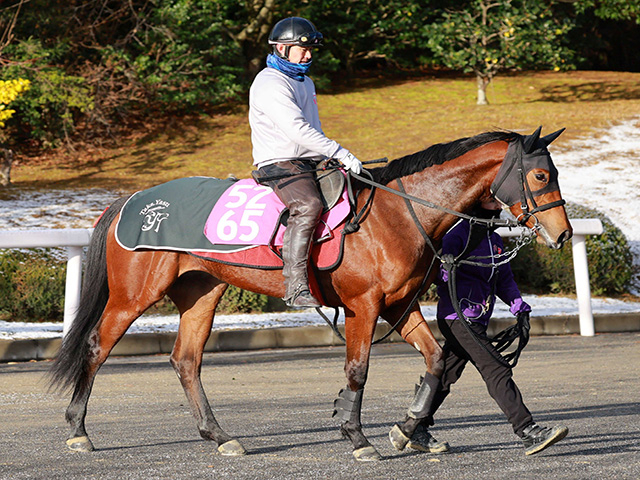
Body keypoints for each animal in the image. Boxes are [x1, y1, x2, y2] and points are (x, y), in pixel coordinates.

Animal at [48, 126, 568, 462]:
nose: (561, 234)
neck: (399, 213)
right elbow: (358, 371)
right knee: (96, 347)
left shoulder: (399, 306)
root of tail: (131, 201)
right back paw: (77, 431)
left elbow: (437, 360)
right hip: (133, 295)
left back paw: (219, 436)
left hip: (202, 292)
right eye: (541, 176)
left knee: (186, 361)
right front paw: (357, 437)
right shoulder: (364, 307)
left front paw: (409, 430)